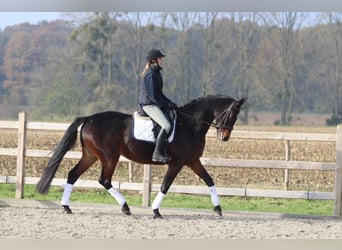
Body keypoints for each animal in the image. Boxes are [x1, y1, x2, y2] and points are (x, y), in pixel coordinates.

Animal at [36, 94, 246, 218]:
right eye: (231, 114)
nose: (225, 137)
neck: (190, 124)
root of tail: (89, 118)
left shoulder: (193, 161)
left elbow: (209, 180)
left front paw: (218, 208)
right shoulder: (177, 163)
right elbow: (165, 185)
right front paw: (156, 210)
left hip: (91, 156)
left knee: (73, 174)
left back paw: (66, 207)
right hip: (110, 157)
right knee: (104, 180)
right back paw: (125, 207)